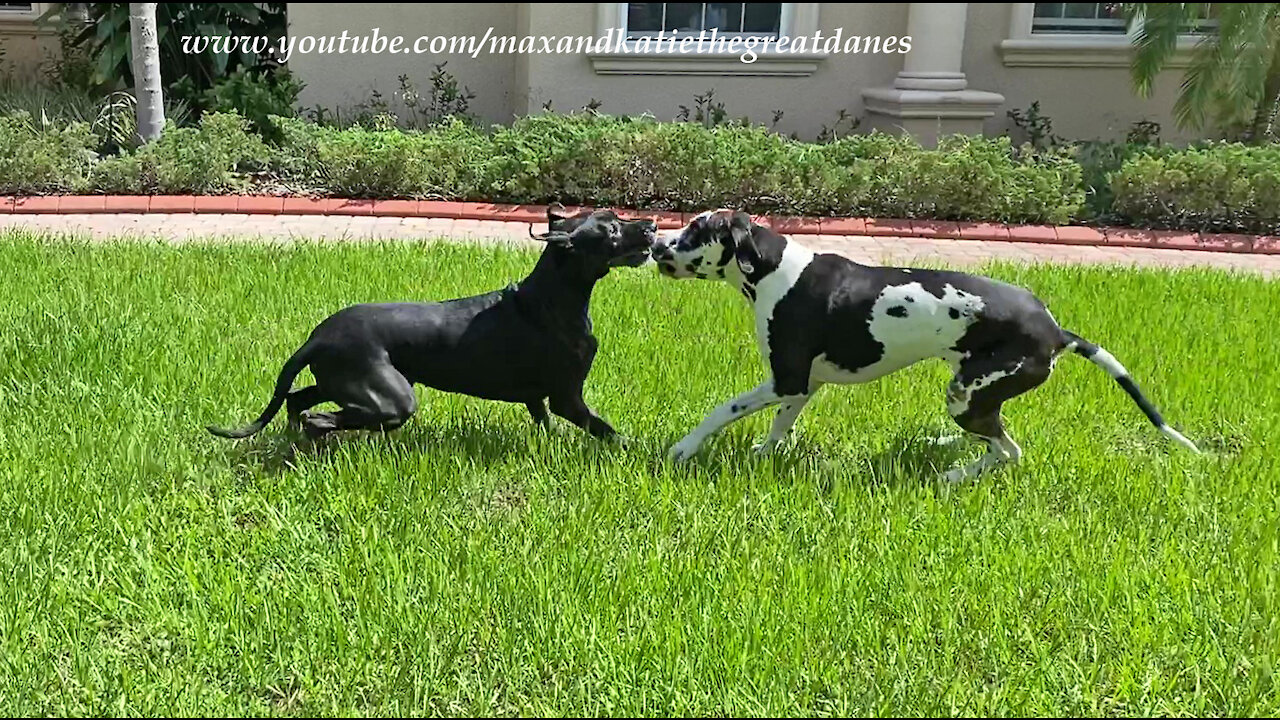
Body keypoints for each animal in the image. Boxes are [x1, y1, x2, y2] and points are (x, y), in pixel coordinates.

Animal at [208, 207, 655, 440]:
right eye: (613, 229)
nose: (651, 225)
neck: (552, 297)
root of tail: (316, 338)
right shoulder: (567, 396)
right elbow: (605, 429)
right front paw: (629, 449)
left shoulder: (540, 398)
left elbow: (545, 423)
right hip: (388, 393)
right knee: (332, 416)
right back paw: (318, 431)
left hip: (337, 379)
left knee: (297, 401)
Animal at [650, 207, 1198, 479]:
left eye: (696, 231)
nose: (655, 242)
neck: (774, 271)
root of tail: (1056, 330)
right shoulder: (801, 387)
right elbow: (778, 430)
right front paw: (763, 456)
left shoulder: (785, 380)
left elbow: (721, 410)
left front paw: (685, 448)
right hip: (972, 395)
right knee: (993, 438)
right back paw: (944, 448)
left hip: (968, 394)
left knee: (1008, 451)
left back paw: (952, 478)